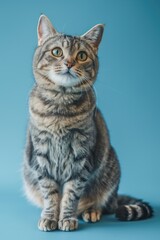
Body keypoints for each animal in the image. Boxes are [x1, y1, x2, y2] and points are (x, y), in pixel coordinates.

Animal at [22, 14, 152, 231]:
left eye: (82, 56)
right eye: (57, 52)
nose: (68, 63)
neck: (60, 107)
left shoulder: (81, 157)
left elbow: (71, 193)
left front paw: (66, 218)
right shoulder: (41, 154)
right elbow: (50, 193)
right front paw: (50, 217)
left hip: (109, 172)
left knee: (102, 203)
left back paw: (91, 211)